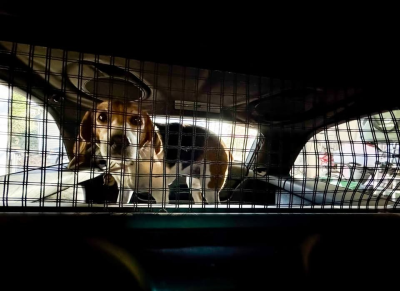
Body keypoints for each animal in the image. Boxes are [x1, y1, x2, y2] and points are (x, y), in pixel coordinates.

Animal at [69, 100, 231, 205]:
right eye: (101, 117)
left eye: (137, 120)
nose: (119, 141)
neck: (131, 163)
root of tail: (219, 138)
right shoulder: (125, 190)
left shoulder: (160, 193)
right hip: (193, 182)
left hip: (210, 186)